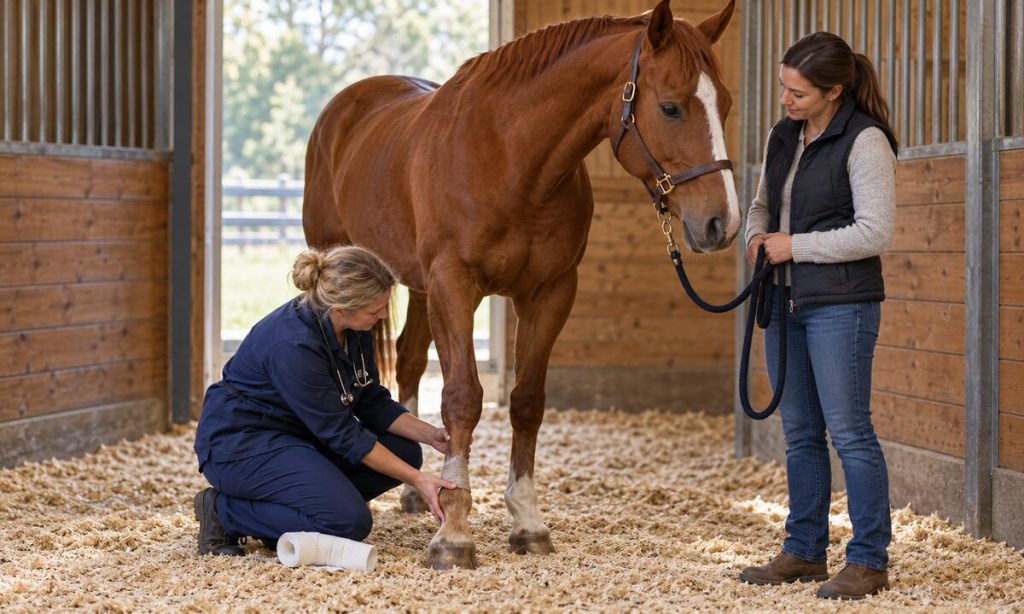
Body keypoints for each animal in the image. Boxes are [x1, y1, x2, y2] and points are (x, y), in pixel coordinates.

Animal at [303, 0, 740, 569]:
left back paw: (413, 494)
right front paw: (454, 534)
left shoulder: (549, 293)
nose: (721, 224)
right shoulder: (454, 285)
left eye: (725, 104)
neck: (512, 161)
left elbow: (527, 401)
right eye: (670, 108)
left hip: (419, 289)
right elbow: (463, 398)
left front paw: (526, 523)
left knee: (412, 360)